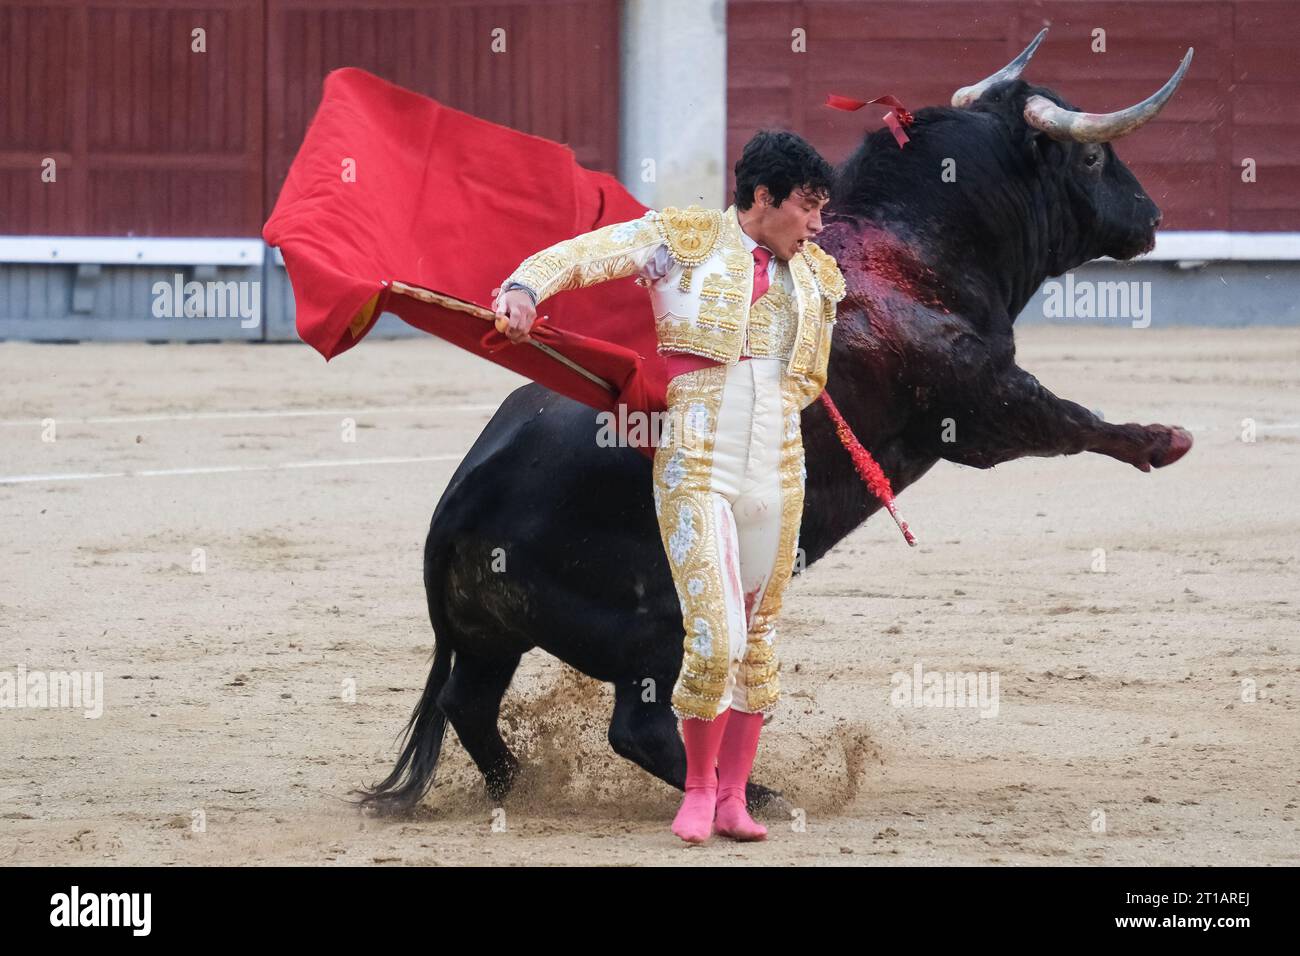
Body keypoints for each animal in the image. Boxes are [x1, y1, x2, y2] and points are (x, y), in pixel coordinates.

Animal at [361, 37, 1190, 816]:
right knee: (637, 725)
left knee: (469, 703)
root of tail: (459, 500)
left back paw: (519, 786)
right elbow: (1073, 420)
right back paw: (754, 793)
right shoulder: (984, 405)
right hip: (661, 618)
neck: (911, 250)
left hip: (493, 634)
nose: (1152, 216)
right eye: (1091, 155)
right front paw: (1163, 441)